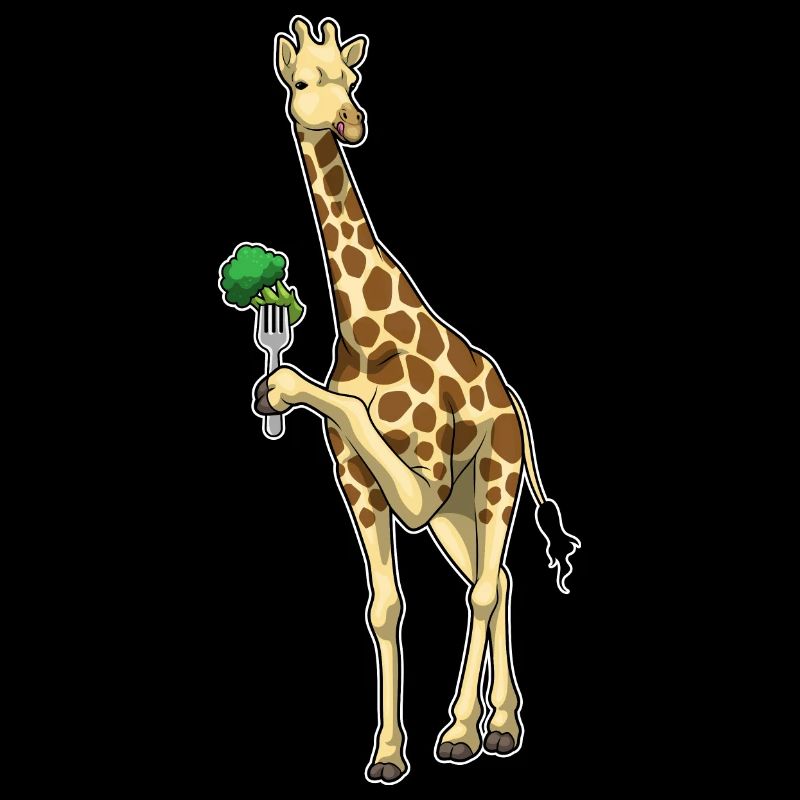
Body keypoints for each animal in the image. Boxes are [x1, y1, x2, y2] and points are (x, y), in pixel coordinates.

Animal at [255, 16, 581, 785]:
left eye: (353, 78)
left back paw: (465, 731)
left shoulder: (421, 483)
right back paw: (504, 726)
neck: (364, 330)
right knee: (503, 579)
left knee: (487, 586)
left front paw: (282, 385)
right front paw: (386, 753)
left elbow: (346, 408)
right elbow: (383, 607)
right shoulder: (358, 482)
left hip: (493, 477)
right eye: (303, 81)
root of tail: (516, 405)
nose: (351, 122)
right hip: (458, 513)